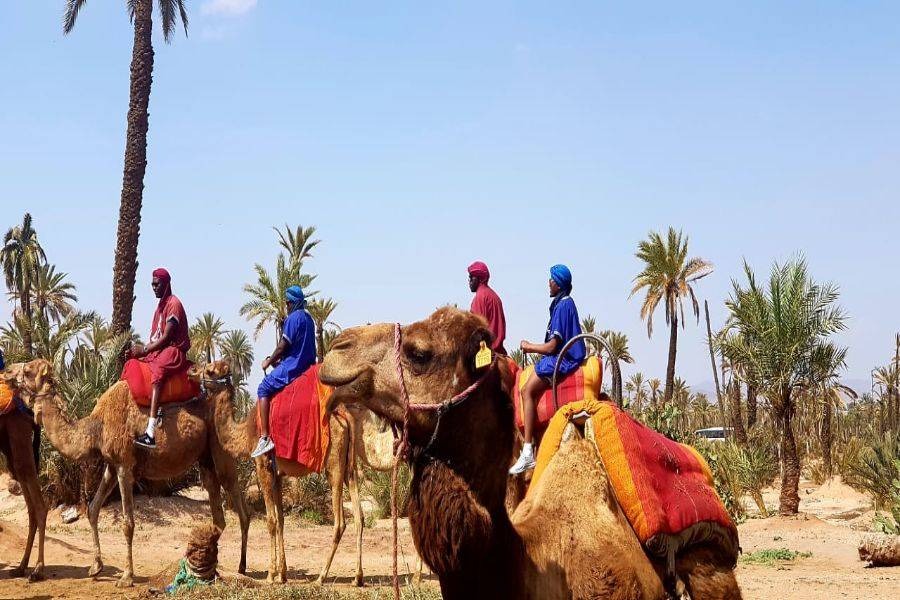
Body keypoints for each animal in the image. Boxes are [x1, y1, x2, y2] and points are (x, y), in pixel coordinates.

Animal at [9, 359, 250, 588]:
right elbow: (93, 509)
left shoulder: (125, 465)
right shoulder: (111, 465)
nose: (8, 371)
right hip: (205, 459)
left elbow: (128, 523)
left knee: (238, 503)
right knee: (218, 513)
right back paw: (208, 563)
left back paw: (241, 567)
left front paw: (126, 576)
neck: (97, 427)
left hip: (221, 447)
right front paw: (96, 567)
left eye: (28, 370)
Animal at [204, 361, 422, 585]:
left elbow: (271, 520)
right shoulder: (278, 475)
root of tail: (344, 418)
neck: (245, 432)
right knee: (359, 517)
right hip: (350, 468)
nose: (196, 374)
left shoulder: (262, 465)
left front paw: (271, 575)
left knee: (340, 522)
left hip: (333, 465)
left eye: (209, 371)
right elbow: (281, 520)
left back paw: (322, 576)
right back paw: (357, 577)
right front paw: (282, 574)